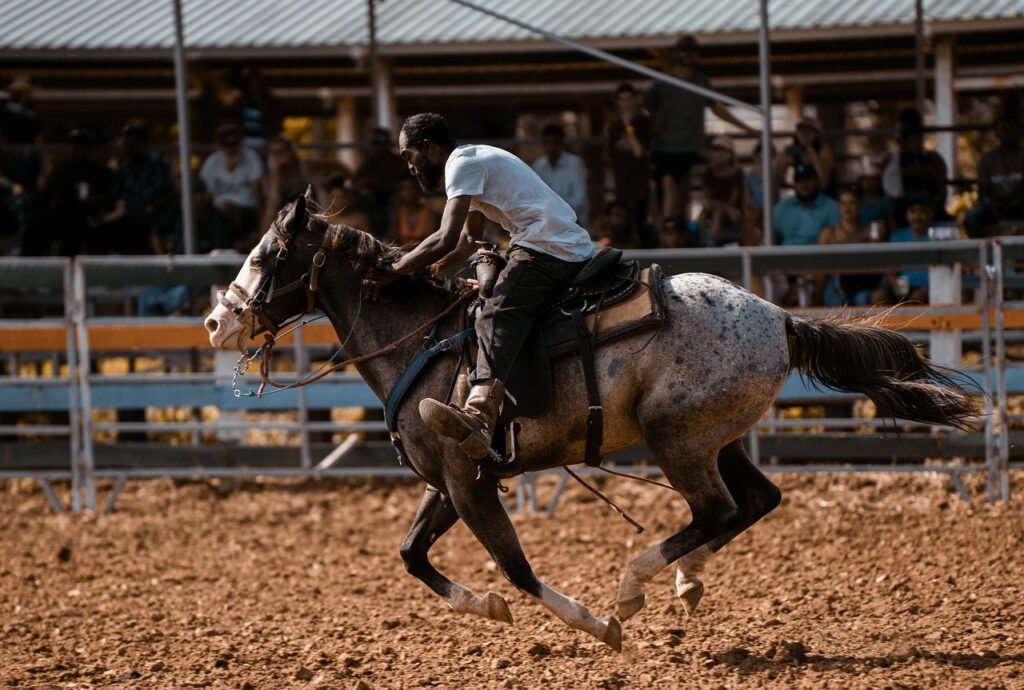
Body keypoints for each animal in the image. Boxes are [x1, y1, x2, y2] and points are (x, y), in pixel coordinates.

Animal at [205, 193, 978, 652]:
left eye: (269, 255)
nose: (216, 321)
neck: (422, 339)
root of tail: (782, 320)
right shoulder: (448, 478)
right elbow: (410, 554)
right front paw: (487, 608)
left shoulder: (466, 479)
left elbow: (516, 567)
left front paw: (594, 623)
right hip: (717, 438)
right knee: (753, 502)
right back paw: (683, 581)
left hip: (678, 440)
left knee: (717, 509)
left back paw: (634, 588)